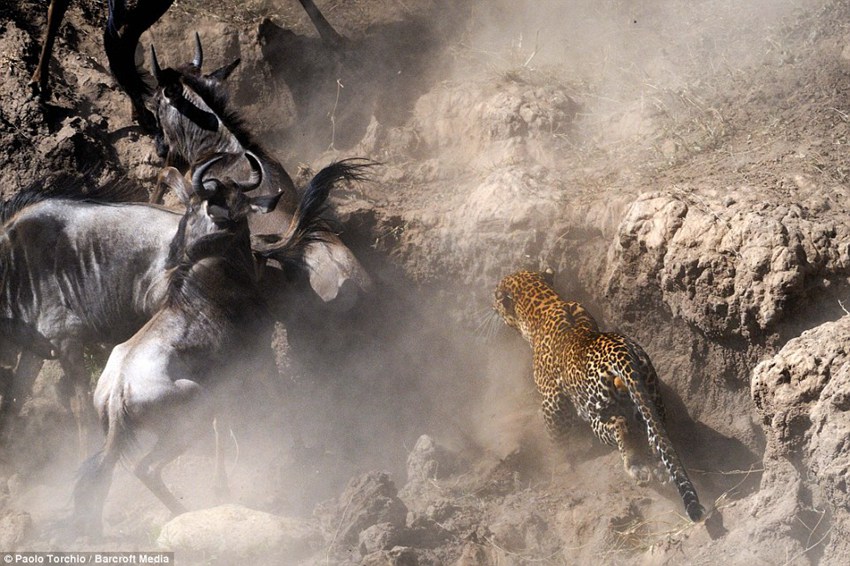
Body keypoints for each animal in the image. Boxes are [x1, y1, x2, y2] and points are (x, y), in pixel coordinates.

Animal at [490, 270, 704, 524]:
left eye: (496, 295)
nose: (492, 302)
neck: (547, 303)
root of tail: (622, 354)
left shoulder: (553, 401)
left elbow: (556, 438)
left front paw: (560, 466)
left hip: (597, 412)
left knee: (621, 427)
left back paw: (636, 466)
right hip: (650, 400)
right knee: (655, 436)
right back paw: (659, 468)